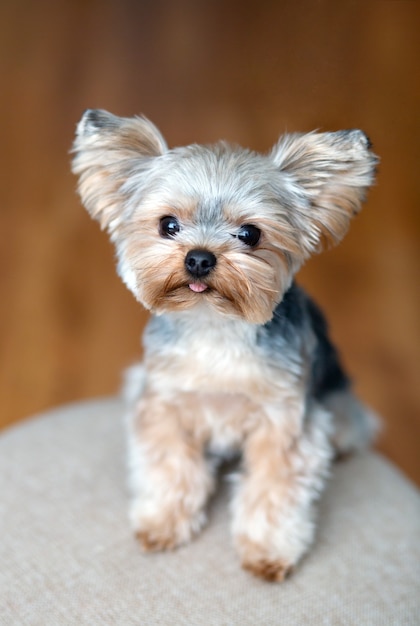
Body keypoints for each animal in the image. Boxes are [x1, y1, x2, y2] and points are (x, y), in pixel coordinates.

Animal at [73, 108, 380, 580]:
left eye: (250, 234)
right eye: (168, 225)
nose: (199, 257)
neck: (213, 326)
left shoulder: (283, 421)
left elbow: (273, 489)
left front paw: (268, 550)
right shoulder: (166, 405)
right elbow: (170, 468)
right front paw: (163, 522)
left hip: (336, 400)